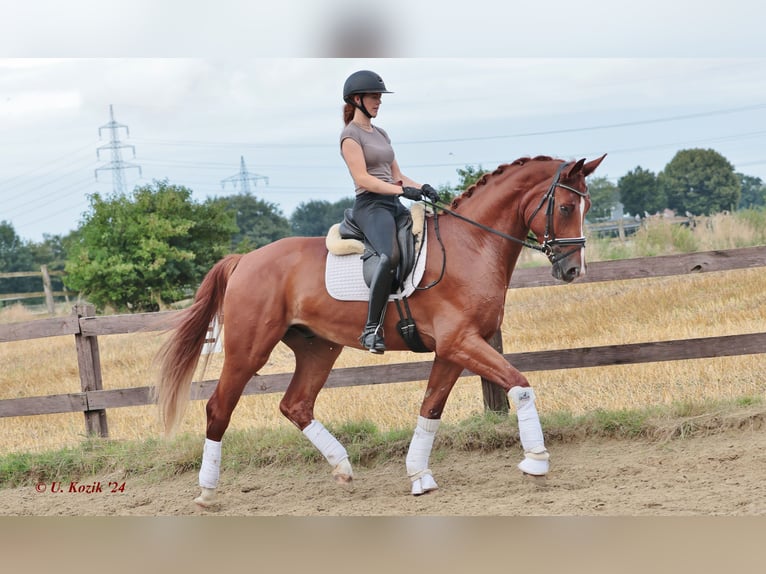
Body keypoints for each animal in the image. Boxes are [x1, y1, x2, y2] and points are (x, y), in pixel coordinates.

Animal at [154, 154, 608, 508]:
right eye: (566, 207)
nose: (573, 270)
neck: (472, 245)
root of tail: (245, 260)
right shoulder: (461, 342)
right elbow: (519, 383)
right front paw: (536, 460)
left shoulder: (452, 349)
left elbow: (431, 408)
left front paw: (419, 476)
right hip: (249, 349)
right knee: (219, 408)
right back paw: (207, 492)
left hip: (319, 349)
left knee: (296, 405)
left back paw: (342, 467)